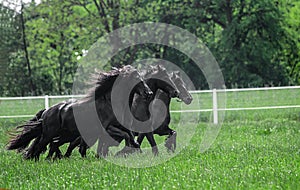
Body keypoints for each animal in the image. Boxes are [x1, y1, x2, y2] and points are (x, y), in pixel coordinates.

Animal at [7, 65, 152, 160]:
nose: (149, 93)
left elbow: (131, 138)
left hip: (65, 134)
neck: (110, 104)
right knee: (40, 146)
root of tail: (47, 111)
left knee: (50, 145)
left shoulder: (119, 127)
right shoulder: (107, 128)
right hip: (49, 134)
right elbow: (125, 137)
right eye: (135, 77)